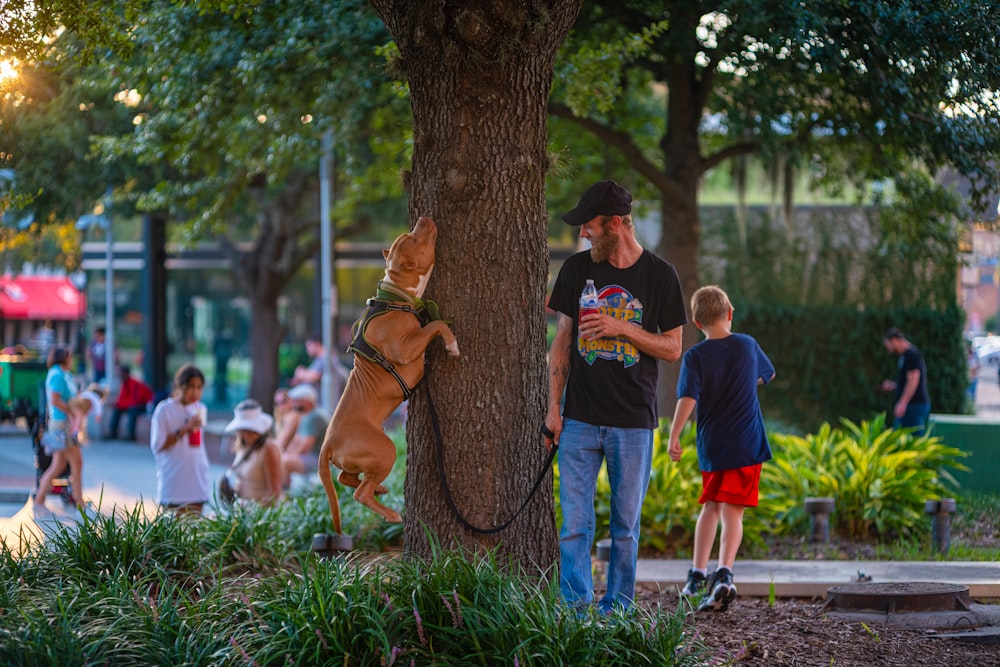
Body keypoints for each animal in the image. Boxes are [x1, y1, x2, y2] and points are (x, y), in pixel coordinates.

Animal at [318, 217, 458, 536]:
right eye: (414, 239)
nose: (424, 218)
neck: (396, 296)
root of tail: (327, 442)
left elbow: (433, 324)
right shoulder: (404, 349)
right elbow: (437, 326)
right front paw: (452, 343)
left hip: (363, 458)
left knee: (346, 478)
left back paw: (380, 488)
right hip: (385, 449)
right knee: (358, 493)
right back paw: (391, 513)